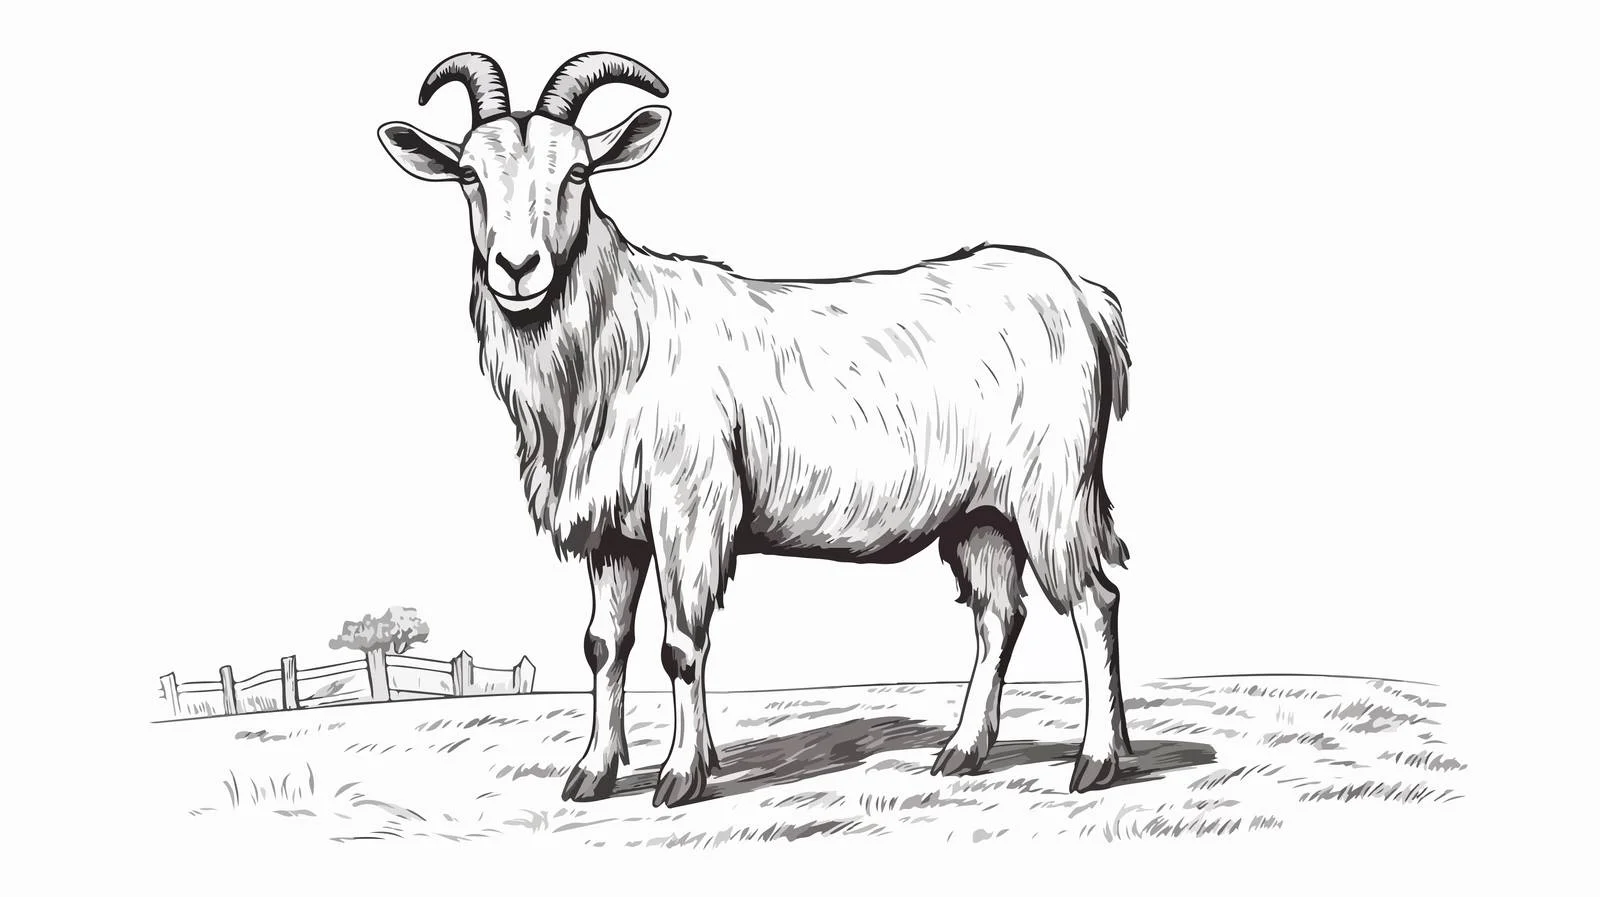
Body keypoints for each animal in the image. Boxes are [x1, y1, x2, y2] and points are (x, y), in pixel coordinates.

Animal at [379, 51, 1134, 808]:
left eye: (579, 172)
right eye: (469, 175)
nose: (517, 268)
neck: (622, 333)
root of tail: (1084, 297)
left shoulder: (689, 508)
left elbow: (680, 645)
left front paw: (681, 774)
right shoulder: (615, 531)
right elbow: (603, 644)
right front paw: (594, 771)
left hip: (1052, 491)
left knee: (1094, 602)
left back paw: (1096, 760)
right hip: (982, 514)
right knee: (998, 616)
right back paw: (965, 750)